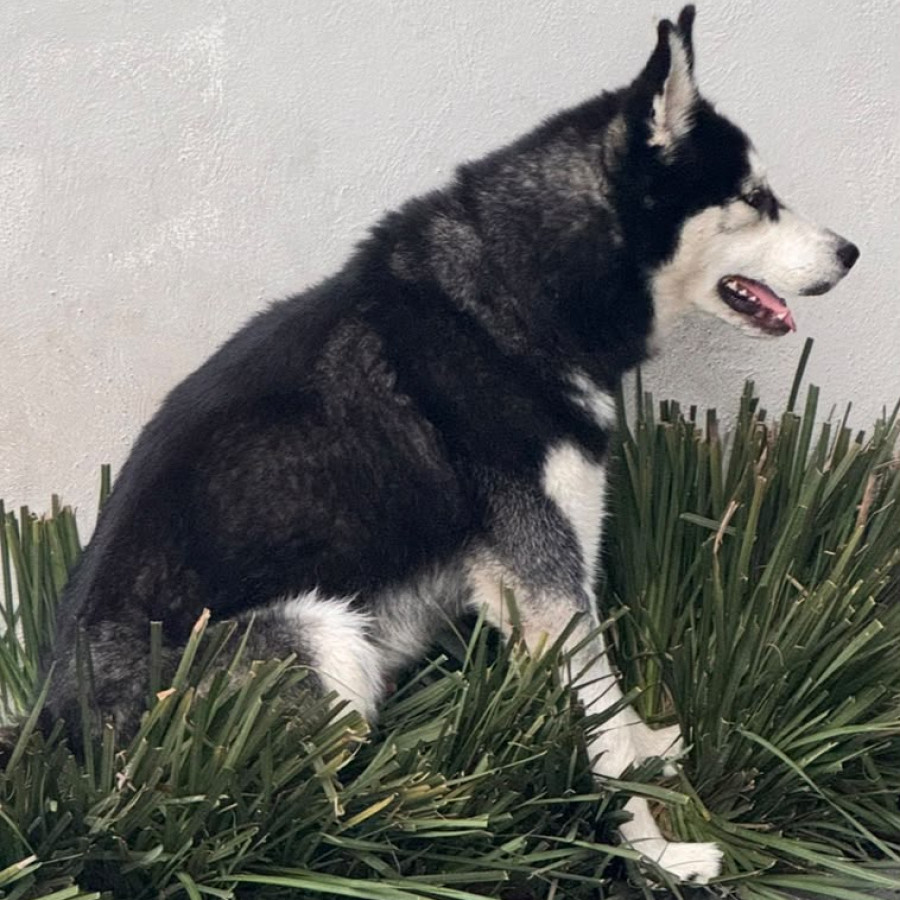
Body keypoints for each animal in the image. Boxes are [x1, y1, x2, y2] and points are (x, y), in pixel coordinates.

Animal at [42, 6, 858, 884]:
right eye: (755, 198)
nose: (852, 252)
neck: (516, 292)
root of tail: (61, 739)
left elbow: (612, 702)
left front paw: (652, 746)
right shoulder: (547, 578)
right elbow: (600, 724)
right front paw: (657, 855)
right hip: (321, 637)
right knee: (299, 816)